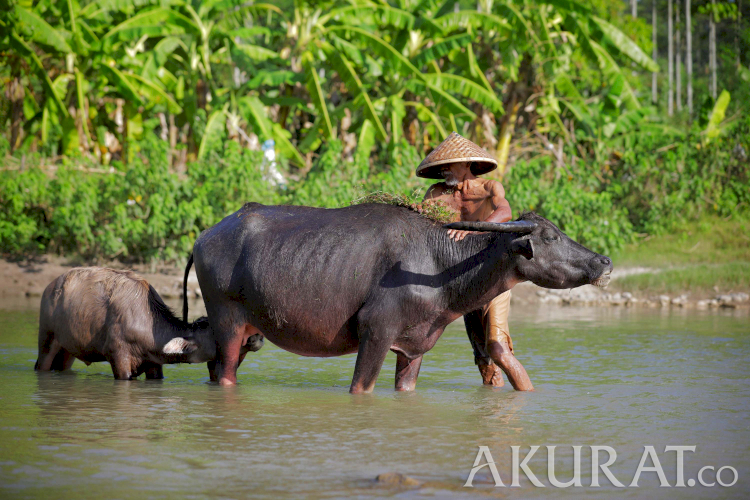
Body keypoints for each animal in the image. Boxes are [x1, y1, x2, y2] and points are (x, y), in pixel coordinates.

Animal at [35, 270, 264, 378]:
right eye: (220, 332)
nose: (257, 336)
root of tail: (50, 288)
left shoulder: (154, 363)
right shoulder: (118, 357)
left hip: (68, 350)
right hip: (47, 339)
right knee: (41, 364)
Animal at [185, 201, 612, 392]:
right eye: (551, 236)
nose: (604, 261)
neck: (439, 264)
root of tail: (204, 237)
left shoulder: (415, 346)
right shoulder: (375, 333)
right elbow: (361, 387)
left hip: (247, 333)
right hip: (227, 323)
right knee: (225, 375)